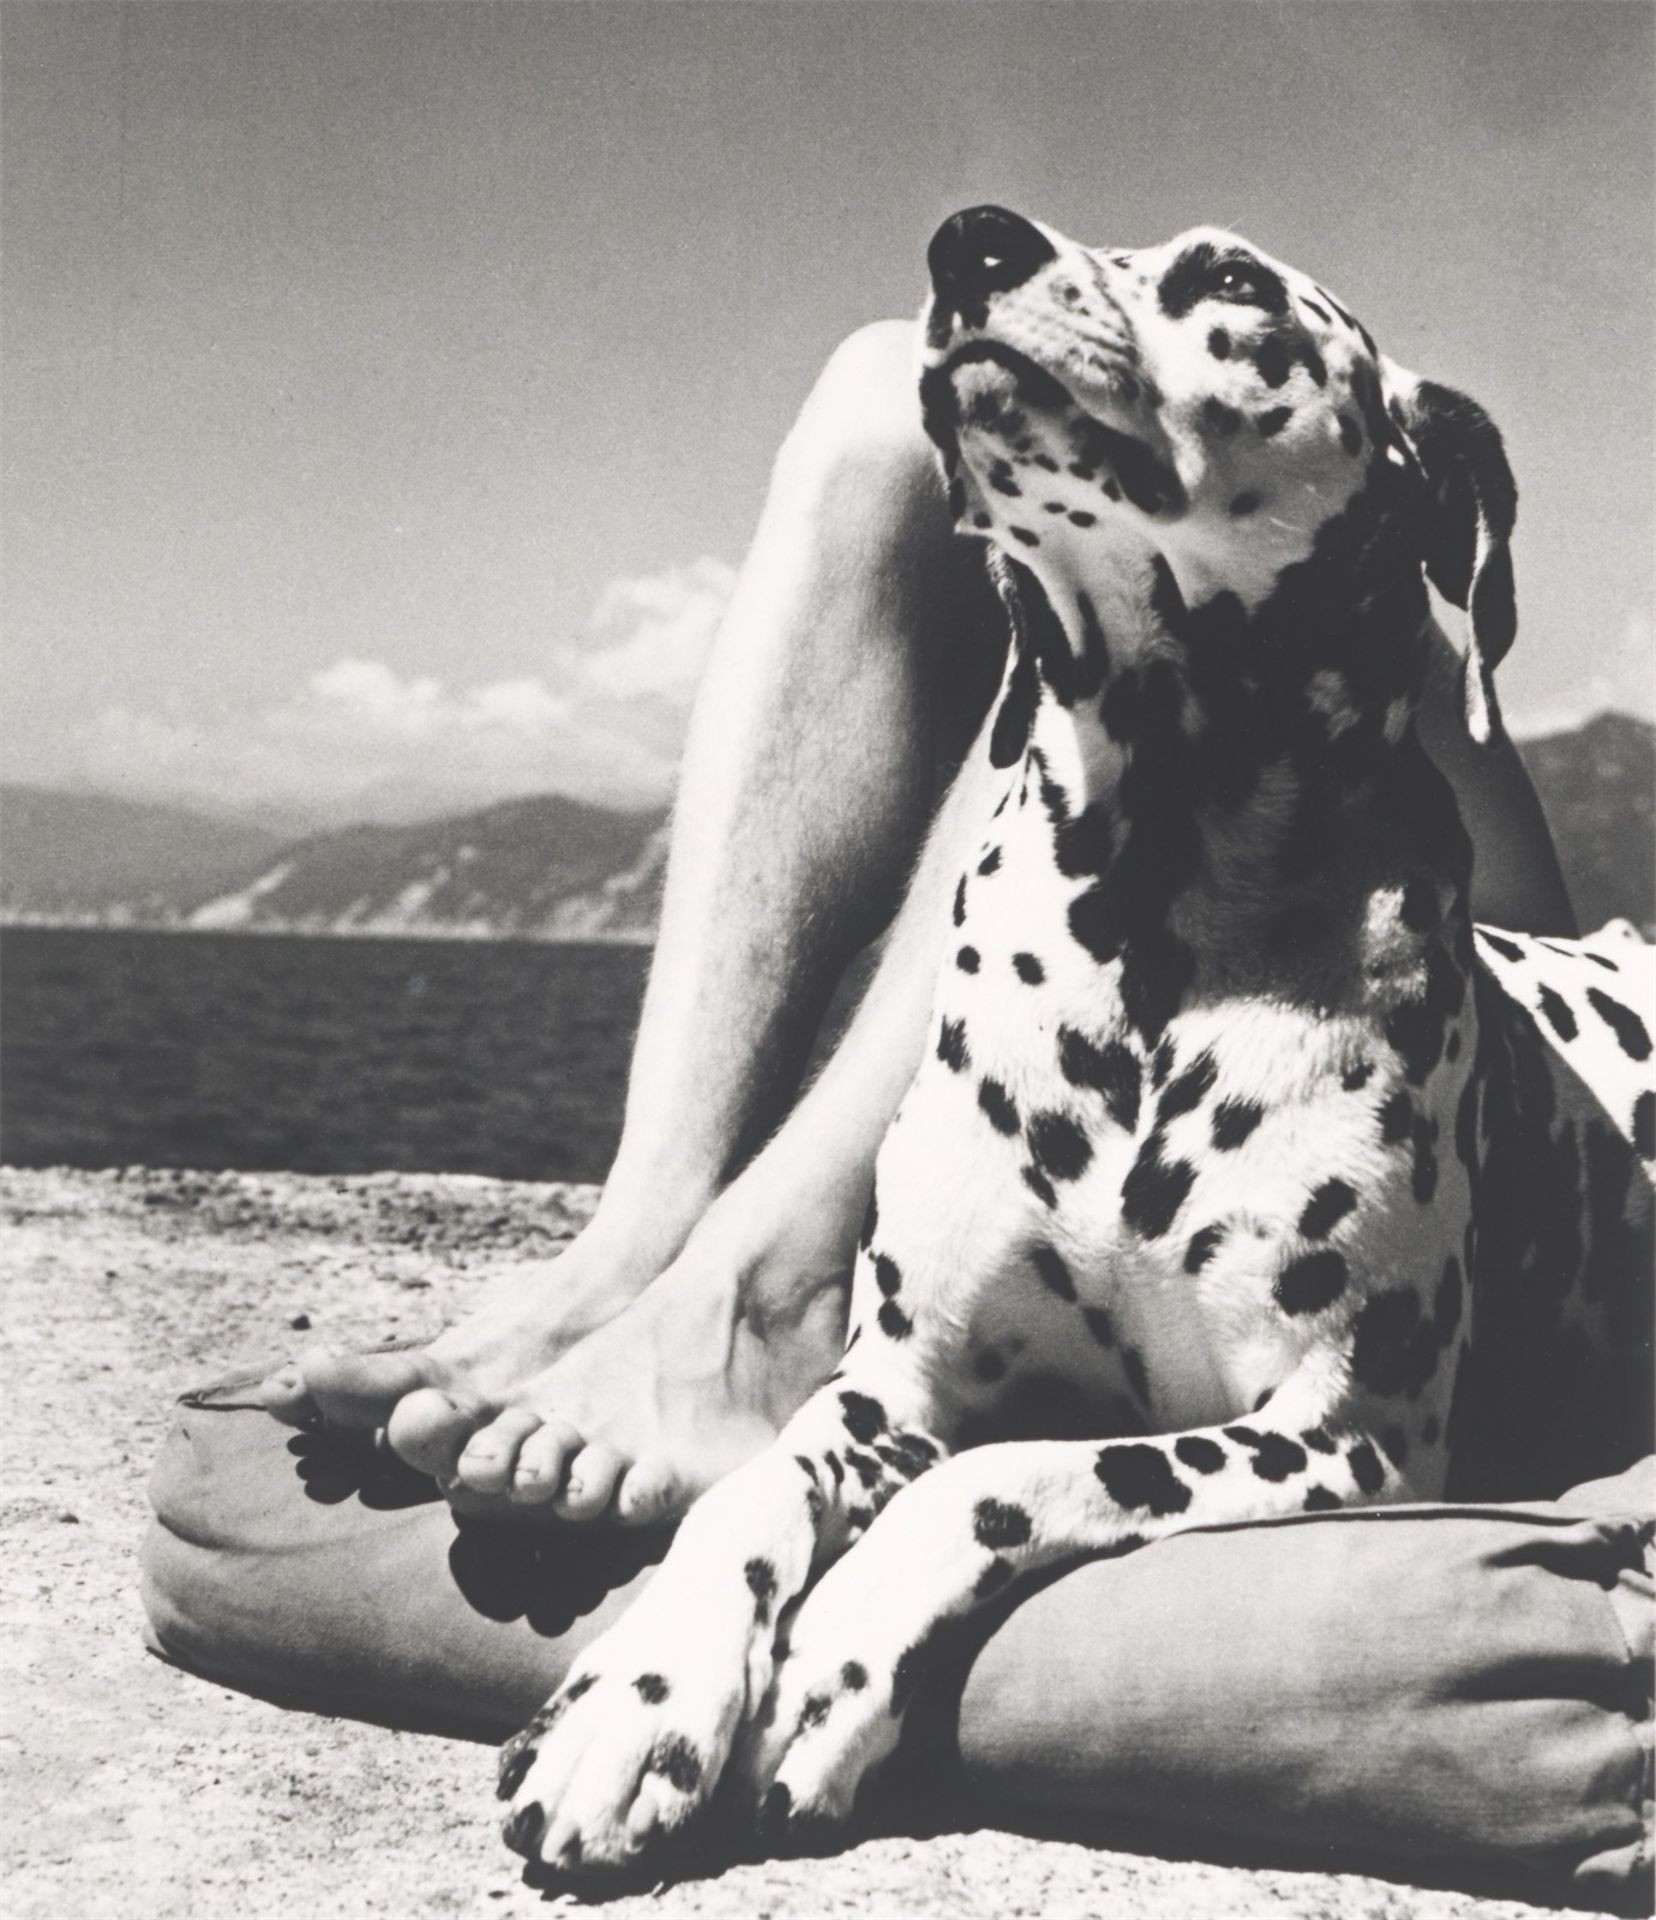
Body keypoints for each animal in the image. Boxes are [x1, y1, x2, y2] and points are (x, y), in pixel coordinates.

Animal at [495, 210, 1656, 1873]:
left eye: (1232, 281)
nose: (971, 239)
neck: (1151, 893)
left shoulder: (1337, 1433)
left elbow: (1011, 1476)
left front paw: (832, 1669)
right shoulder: (892, 1386)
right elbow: (755, 1493)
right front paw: (639, 1693)